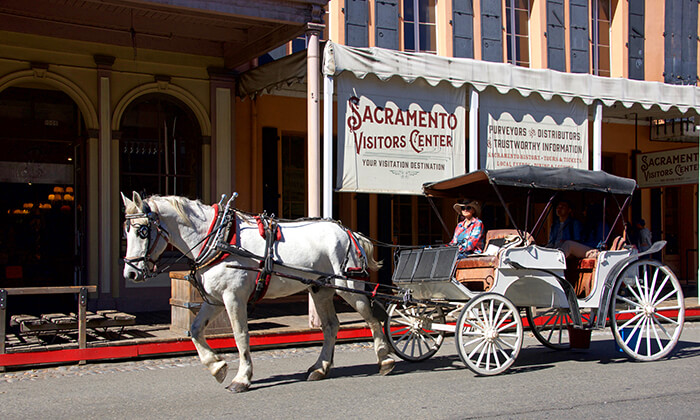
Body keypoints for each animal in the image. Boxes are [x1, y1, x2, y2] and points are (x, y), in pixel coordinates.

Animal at [120, 192, 394, 392]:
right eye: (126, 231)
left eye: (141, 231)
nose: (130, 274)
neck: (219, 238)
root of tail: (348, 231)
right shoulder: (215, 300)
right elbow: (195, 330)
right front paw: (216, 367)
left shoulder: (233, 298)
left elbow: (241, 336)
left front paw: (242, 378)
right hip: (321, 289)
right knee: (331, 326)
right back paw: (320, 367)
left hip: (349, 286)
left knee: (371, 318)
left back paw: (385, 359)